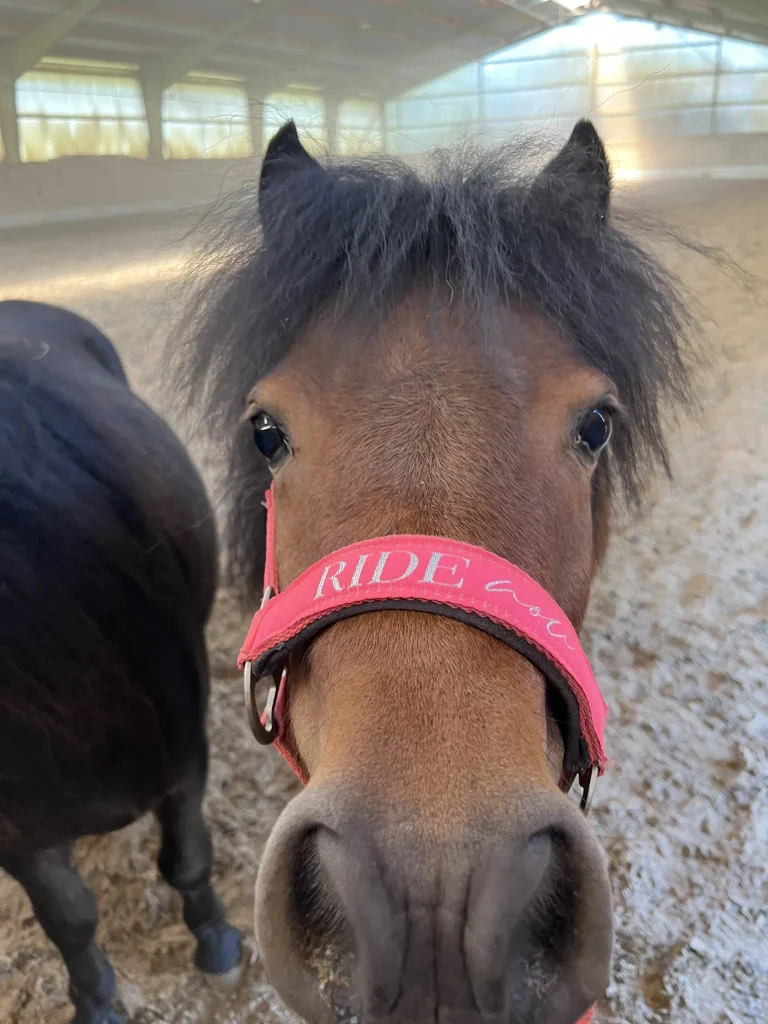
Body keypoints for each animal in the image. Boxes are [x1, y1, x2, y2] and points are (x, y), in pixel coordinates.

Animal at [0, 300, 241, 1024]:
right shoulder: (16, 832)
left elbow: (187, 859)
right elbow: (69, 918)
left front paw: (218, 941)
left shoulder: (184, 761)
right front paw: (94, 998)